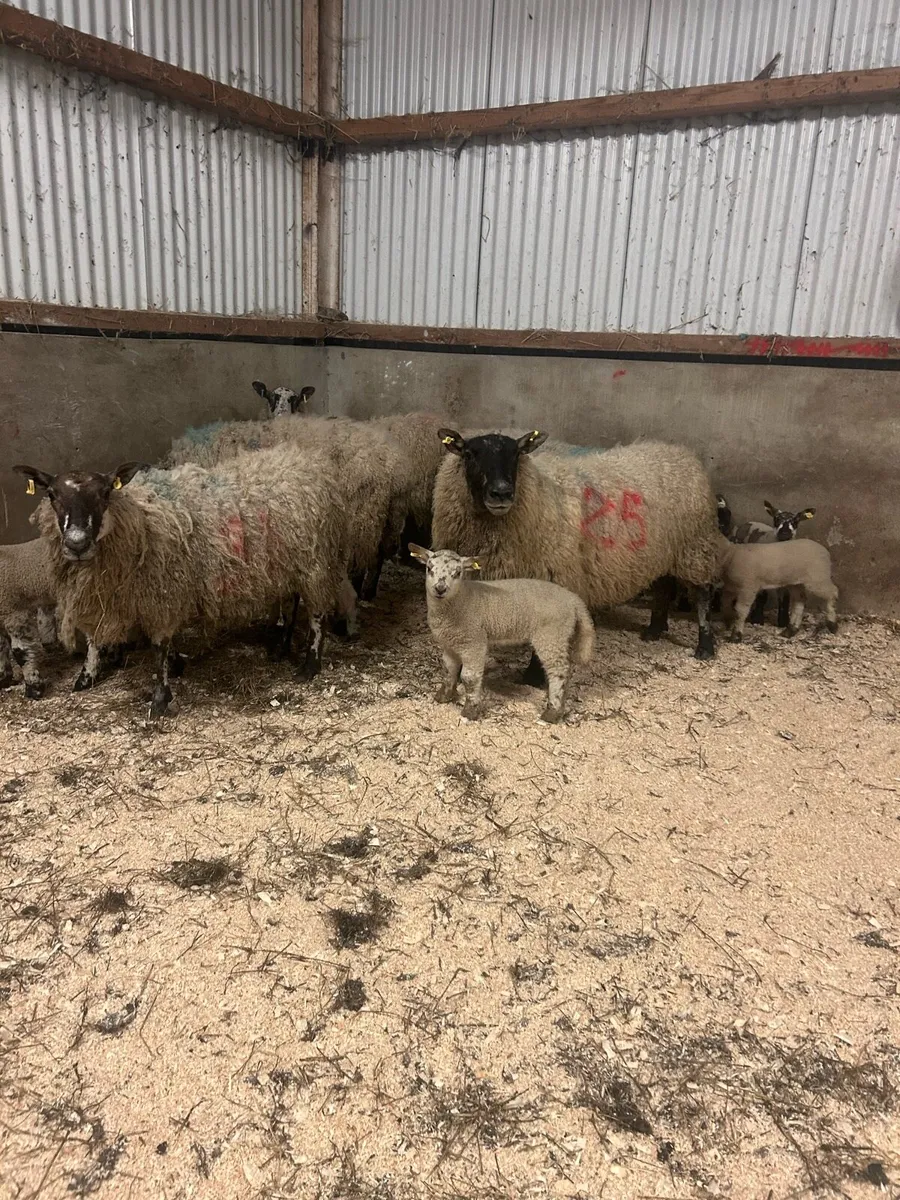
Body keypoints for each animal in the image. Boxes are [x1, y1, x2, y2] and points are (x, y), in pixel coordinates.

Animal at [14, 444, 351, 717]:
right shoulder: (122, 593)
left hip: (315, 562)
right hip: (286, 560)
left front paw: (161, 699)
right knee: (291, 599)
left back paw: (309, 665)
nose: (77, 543)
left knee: (317, 613)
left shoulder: (161, 590)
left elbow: (159, 645)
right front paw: (90, 676)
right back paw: (280, 647)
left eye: (106, 493)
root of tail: (303, 459)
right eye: (51, 495)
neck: (139, 520)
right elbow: (104, 639)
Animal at [409, 544, 594, 723]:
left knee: (559, 671)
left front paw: (470, 711)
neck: (461, 599)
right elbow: (448, 670)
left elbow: (469, 677)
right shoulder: (449, 643)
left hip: (551, 635)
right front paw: (443, 697)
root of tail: (575, 600)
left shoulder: (474, 641)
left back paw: (551, 714)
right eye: (429, 568)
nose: (440, 589)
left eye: (458, 572)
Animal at [432, 429, 721, 680]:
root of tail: (680, 452)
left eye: (517, 454)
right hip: (665, 550)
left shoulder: (556, 577)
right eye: (470, 454)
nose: (501, 493)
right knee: (664, 585)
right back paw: (654, 630)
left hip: (695, 546)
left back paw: (705, 646)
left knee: (703, 594)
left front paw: (533, 676)